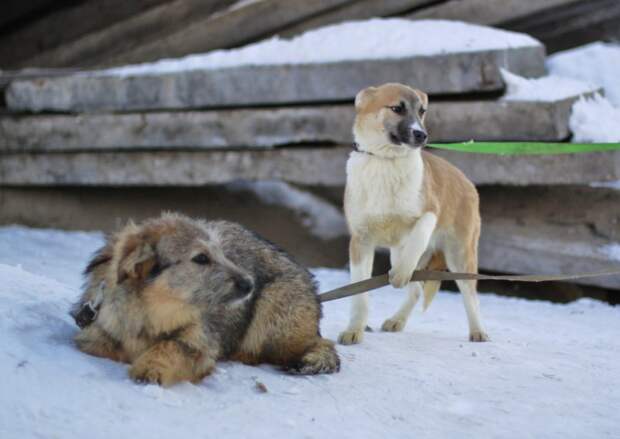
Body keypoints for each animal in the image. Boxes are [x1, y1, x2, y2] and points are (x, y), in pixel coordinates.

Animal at [72, 215, 340, 386]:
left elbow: (172, 346)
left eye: (222, 253)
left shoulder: (200, 340)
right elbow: (100, 344)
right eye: (201, 258)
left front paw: (150, 368)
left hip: (273, 313)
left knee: (322, 345)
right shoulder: (94, 330)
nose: (251, 284)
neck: (153, 315)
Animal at [340, 81, 490, 344]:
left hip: (460, 254)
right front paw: (353, 330)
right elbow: (359, 294)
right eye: (397, 108)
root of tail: (468, 183)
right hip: (398, 252)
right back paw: (396, 320)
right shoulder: (360, 240)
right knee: (417, 290)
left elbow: (419, 233)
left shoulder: (430, 212)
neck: (385, 161)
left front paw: (400, 274)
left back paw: (478, 330)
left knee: (470, 295)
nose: (422, 135)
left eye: (422, 111)